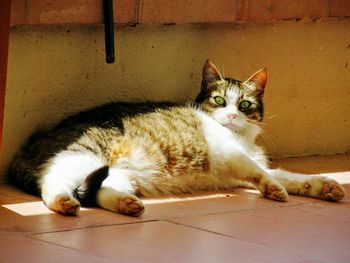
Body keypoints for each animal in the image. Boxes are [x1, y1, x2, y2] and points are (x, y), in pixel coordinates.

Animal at [8, 61, 344, 217]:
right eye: (219, 100)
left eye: (245, 105)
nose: (231, 115)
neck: (239, 137)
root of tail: (29, 146)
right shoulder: (230, 154)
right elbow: (261, 172)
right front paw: (273, 189)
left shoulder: (238, 168)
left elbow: (285, 175)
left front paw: (322, 186)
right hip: (84, 154)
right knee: (53, 182)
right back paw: (63, 202)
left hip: (117, 174)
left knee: (100, 191)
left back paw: (128, 205)